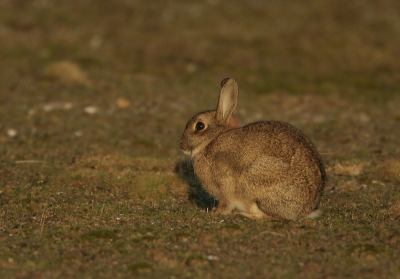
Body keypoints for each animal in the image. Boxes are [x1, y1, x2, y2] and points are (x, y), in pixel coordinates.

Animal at [180, 78, 326, 221]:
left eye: (199, 126)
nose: (182, 145)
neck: (213, 139)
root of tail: (305, 210)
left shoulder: (224, 187)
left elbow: (225, 204)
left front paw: (214, 213)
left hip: (258, 179)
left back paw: (246, 215)